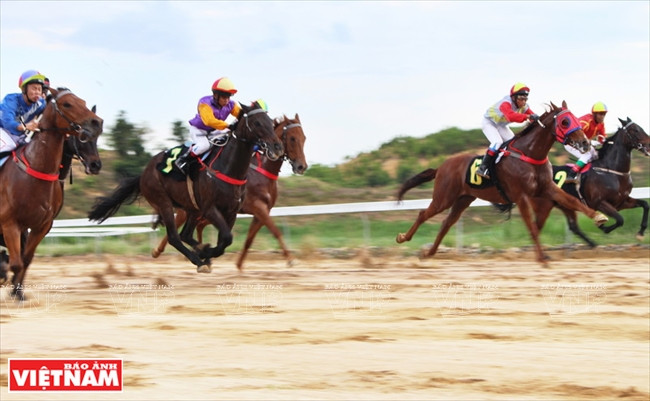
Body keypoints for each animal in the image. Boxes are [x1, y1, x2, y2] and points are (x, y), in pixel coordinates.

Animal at [0, 87, 103, 299]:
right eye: (67, 104)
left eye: (83, 101)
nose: (96, 122)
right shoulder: (9, 223)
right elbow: (15, 263)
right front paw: (13, 291)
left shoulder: (41, 226)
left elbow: (25, 260)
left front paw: (18, 292)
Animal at [88, 101, 284, 272]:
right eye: (257, 122)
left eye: (270, 121)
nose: (277, 147)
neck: (227, 168)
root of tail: (143, 174)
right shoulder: (210, 208)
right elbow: (226, 238)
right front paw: (205, 253)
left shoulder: (231, 211)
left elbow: (224, 241)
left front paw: (206, 251)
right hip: (164, 202)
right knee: (174, 237)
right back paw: (199, 260)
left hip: (192, 208)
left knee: (185, 235)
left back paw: (200, 253)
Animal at [151, 114, 308, 271]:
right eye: (292, 138)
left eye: (304, 138)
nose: (302, 166)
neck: (262, 172)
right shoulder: (258, 207)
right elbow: (275, 231)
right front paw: (291, 259)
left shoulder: (262, 211)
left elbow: (249, 239)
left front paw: (239, 265)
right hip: (187, 210)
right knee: (175, 230)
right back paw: (158, 251)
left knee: (197, 228)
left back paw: (202, 254)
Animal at [395, 101, 608, 266]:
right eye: (565, 121)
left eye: (576, 118)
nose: (585, 143)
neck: (530, 154)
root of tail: (441, 166)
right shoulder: (521, 196)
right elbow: (532, 227)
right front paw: (542, 258)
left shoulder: (547, 188)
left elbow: (572, 202)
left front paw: (598, 216)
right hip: (444, 197)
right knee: (424, 214)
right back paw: (403, 237)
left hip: (464, 199)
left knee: (446, 223)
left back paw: (428, 253)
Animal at [540, 118, 649, 247]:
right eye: (635, 130)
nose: (649, 145)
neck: (612, 171)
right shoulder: (598, 202)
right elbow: (620, 219)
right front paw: (603, 226)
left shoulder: (621, 202)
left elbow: (645, 204)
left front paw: (641, 233)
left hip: (565, 204)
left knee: (573, 227)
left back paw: (592, 244)